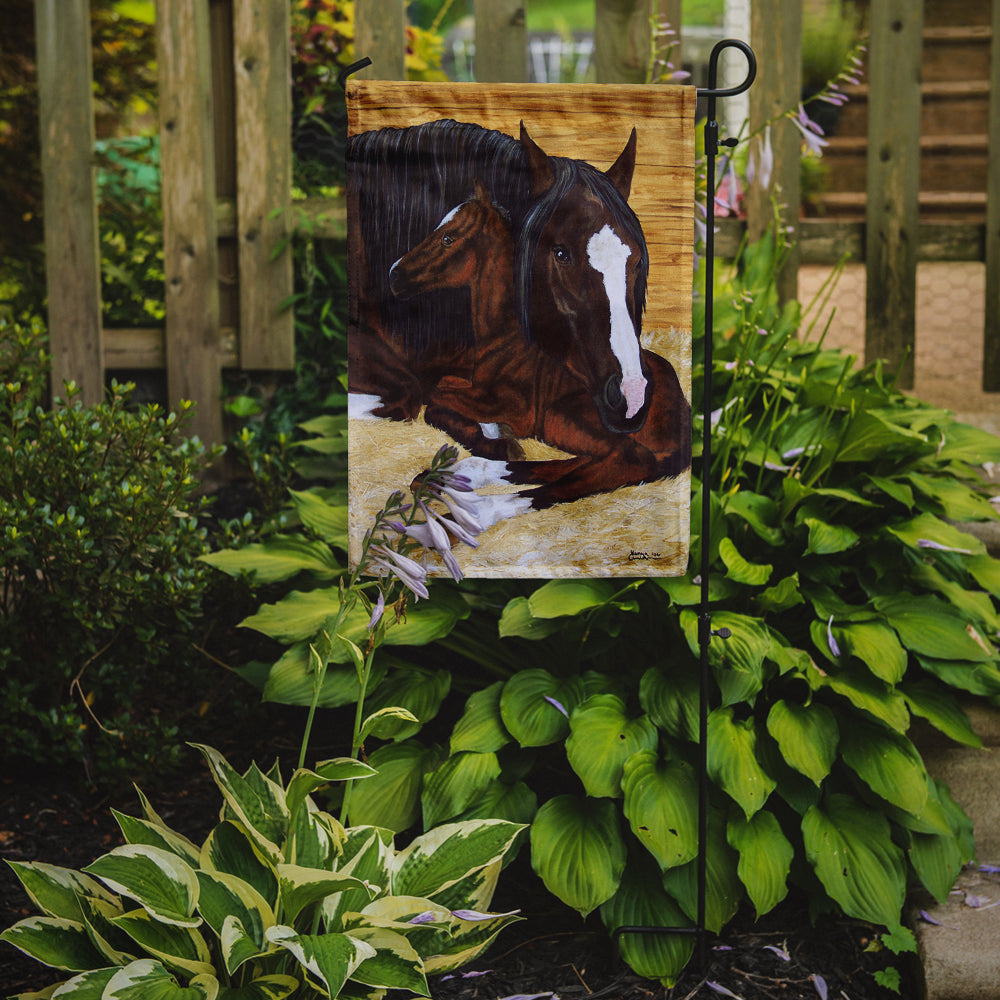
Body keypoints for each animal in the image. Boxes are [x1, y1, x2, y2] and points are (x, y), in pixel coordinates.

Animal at [387, 181, 691, 524]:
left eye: (448, 238)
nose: (394, 274)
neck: (508, 338)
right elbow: (440, 390)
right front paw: (495, 436)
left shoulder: (512, 406)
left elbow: (434, 399)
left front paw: (496, 434)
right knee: (584, 463)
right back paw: (449, 477)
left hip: (563, 416)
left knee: (628, 459)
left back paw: (471, 511)